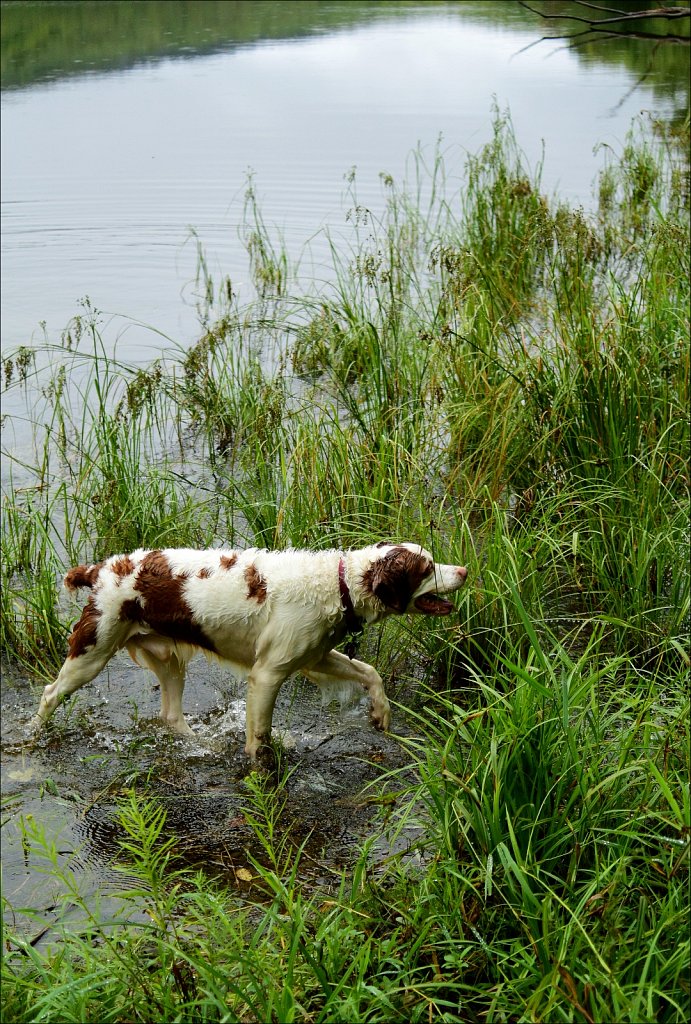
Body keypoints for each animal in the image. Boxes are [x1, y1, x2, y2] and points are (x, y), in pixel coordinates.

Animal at [29, 544, 466, 761]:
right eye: (427, 568)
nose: (463, 571)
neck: (336, 584)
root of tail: (99, 569)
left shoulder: (313, 656)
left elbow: (370, 671)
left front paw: (381, 714)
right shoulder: (268, 673)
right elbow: (259, 737)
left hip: (168, 660)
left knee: (171, 716)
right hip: (92, 650)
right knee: (50, 694)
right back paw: (33, 735)